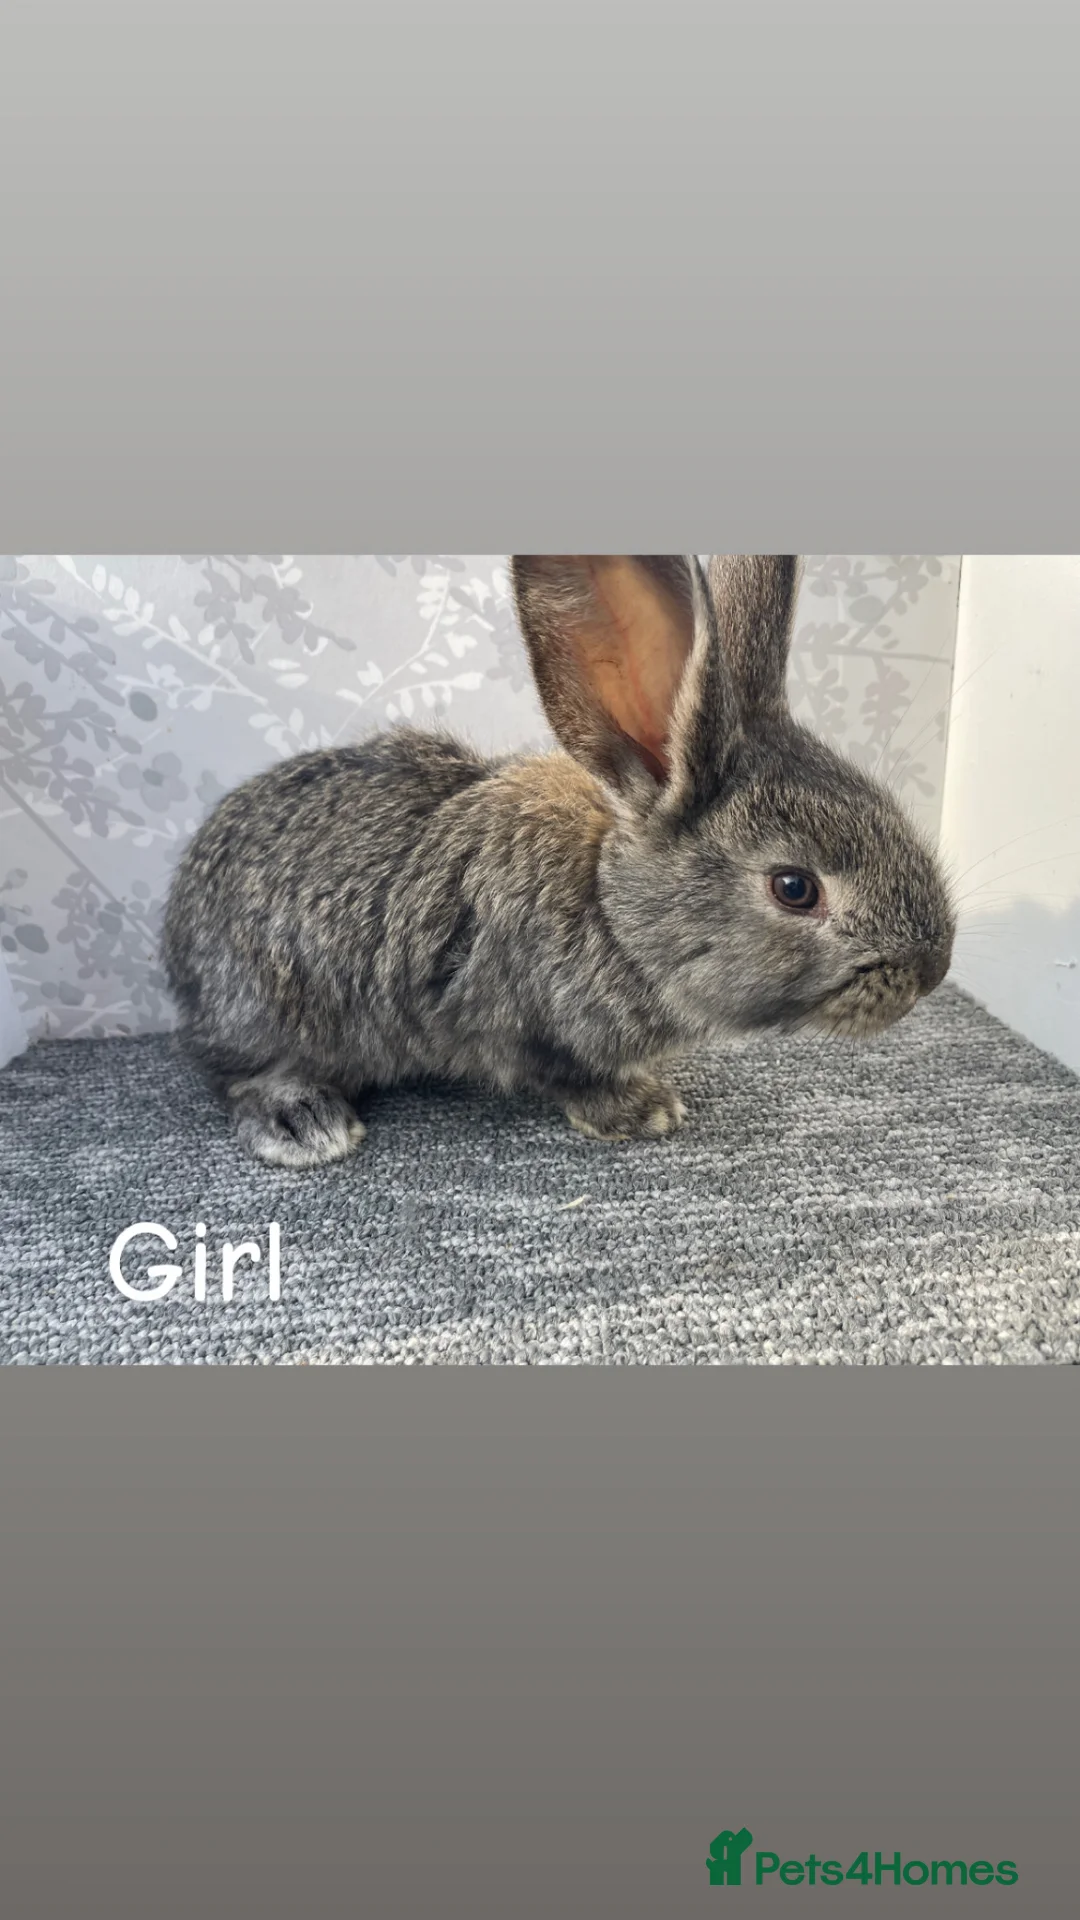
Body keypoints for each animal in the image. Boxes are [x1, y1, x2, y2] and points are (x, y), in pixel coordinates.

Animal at [161, 555, 956, 1169]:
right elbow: (565, 1076)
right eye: (795, 888)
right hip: (268, 1009)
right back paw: (304, 1123)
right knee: (235, 1077)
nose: (932, 970)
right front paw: (642, 1110)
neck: (612, 910)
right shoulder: (525, 1025)